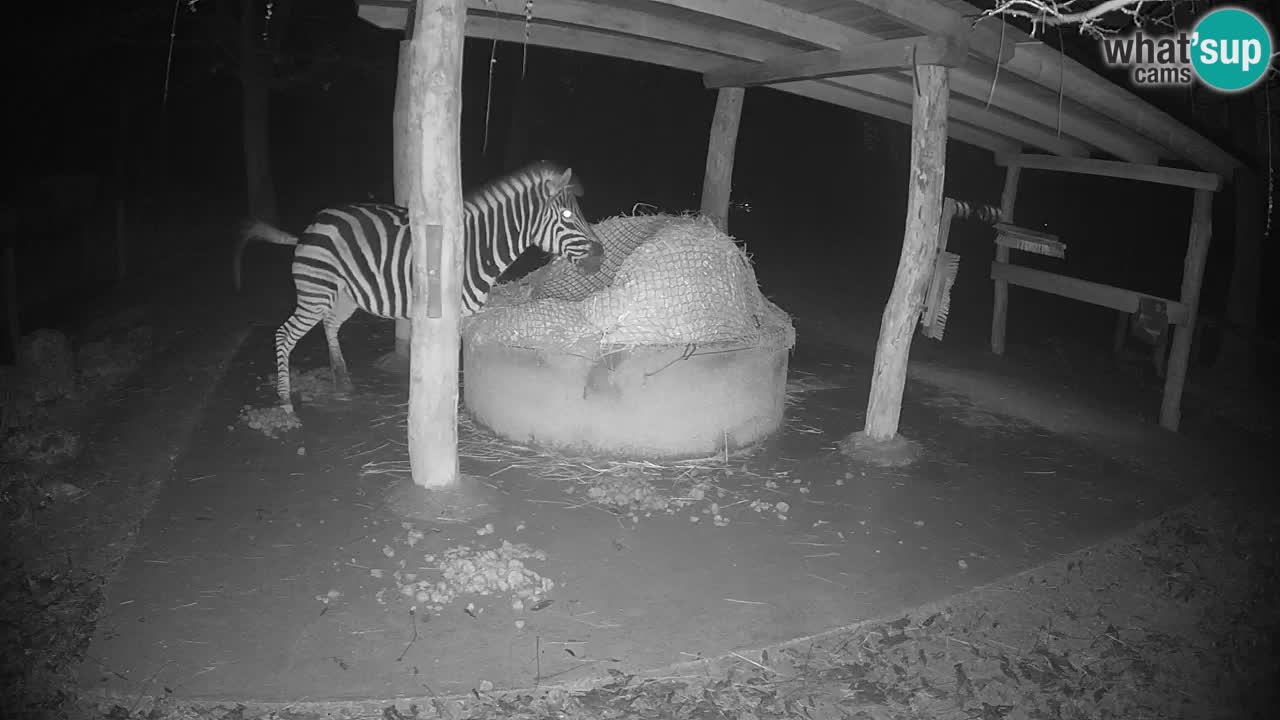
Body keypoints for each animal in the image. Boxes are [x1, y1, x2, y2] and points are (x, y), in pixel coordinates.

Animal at [234, 161, 605, 413]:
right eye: (568, 216)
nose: (600, 256)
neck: (477, 247)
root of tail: (311, 225)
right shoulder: (451, 314)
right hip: (315, 292)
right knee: (284, 334)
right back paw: (285, 401)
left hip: (345, 295)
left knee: (330, 325)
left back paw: (343, 380)